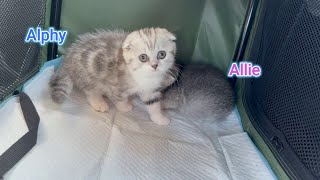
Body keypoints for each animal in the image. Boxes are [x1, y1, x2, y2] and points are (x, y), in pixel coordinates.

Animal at [48, 27, 178, 125]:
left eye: (162, 54)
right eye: (143, 57)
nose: (155, 65)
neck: (143, 77)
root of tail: (67, 58)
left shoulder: (150, 90)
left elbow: (153, 103)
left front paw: (159, 118)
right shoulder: (114, 83)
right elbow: (119, 98)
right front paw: (124, 107)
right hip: (88, 75)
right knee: (91, 92)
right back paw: (99, 103)